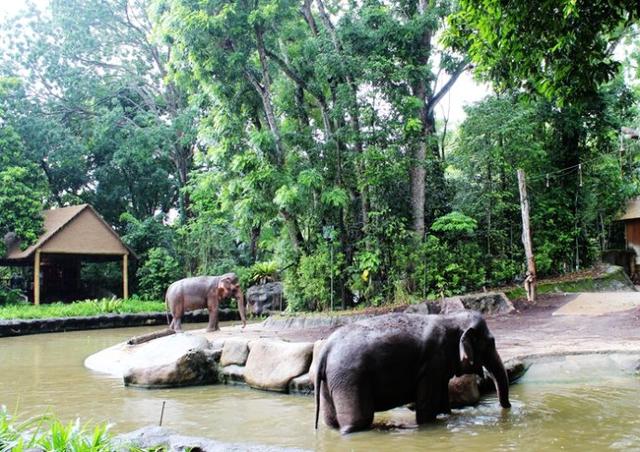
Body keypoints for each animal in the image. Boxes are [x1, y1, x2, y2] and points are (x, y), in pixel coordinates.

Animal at [314, 310, 510, 434]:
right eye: (490, 343)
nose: (507, 408)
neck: (450, 318)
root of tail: (326, 348)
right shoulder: (432, 362)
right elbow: (427, 407)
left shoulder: (438, 365)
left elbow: (443, 400)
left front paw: (449, 416)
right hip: (350, 379)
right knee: (358, 421)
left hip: (331, 381)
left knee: (331, 421)